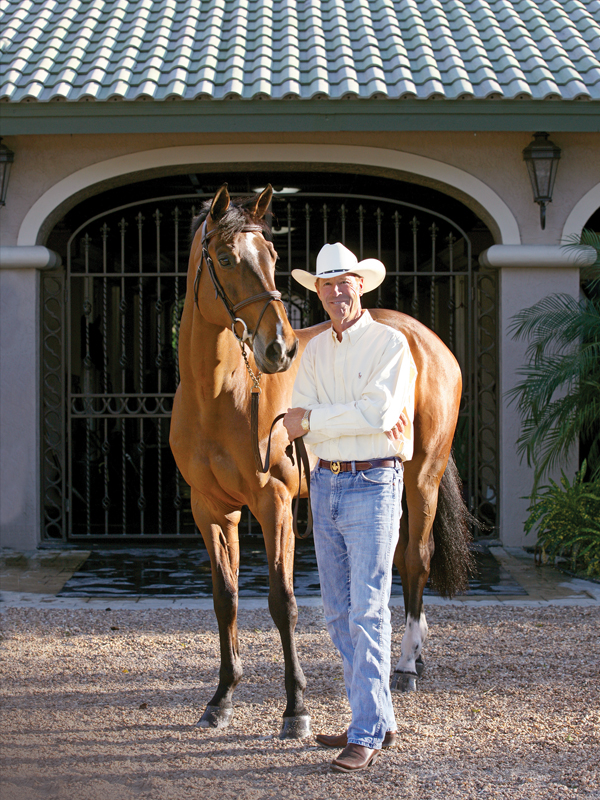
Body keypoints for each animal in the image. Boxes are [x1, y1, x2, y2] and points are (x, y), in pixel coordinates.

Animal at [169, 183, 472, 739]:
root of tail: (427, 340)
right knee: (394, 563)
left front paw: (296, 709)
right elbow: (226, 599)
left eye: (272, 256)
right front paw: (221, 698)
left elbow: (282, 602)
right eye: (225, 258)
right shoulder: (212, 510)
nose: (280, 348)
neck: (219, 396)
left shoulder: (275, 504)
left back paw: (404, 666)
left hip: (423, 477)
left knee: (416, 559)